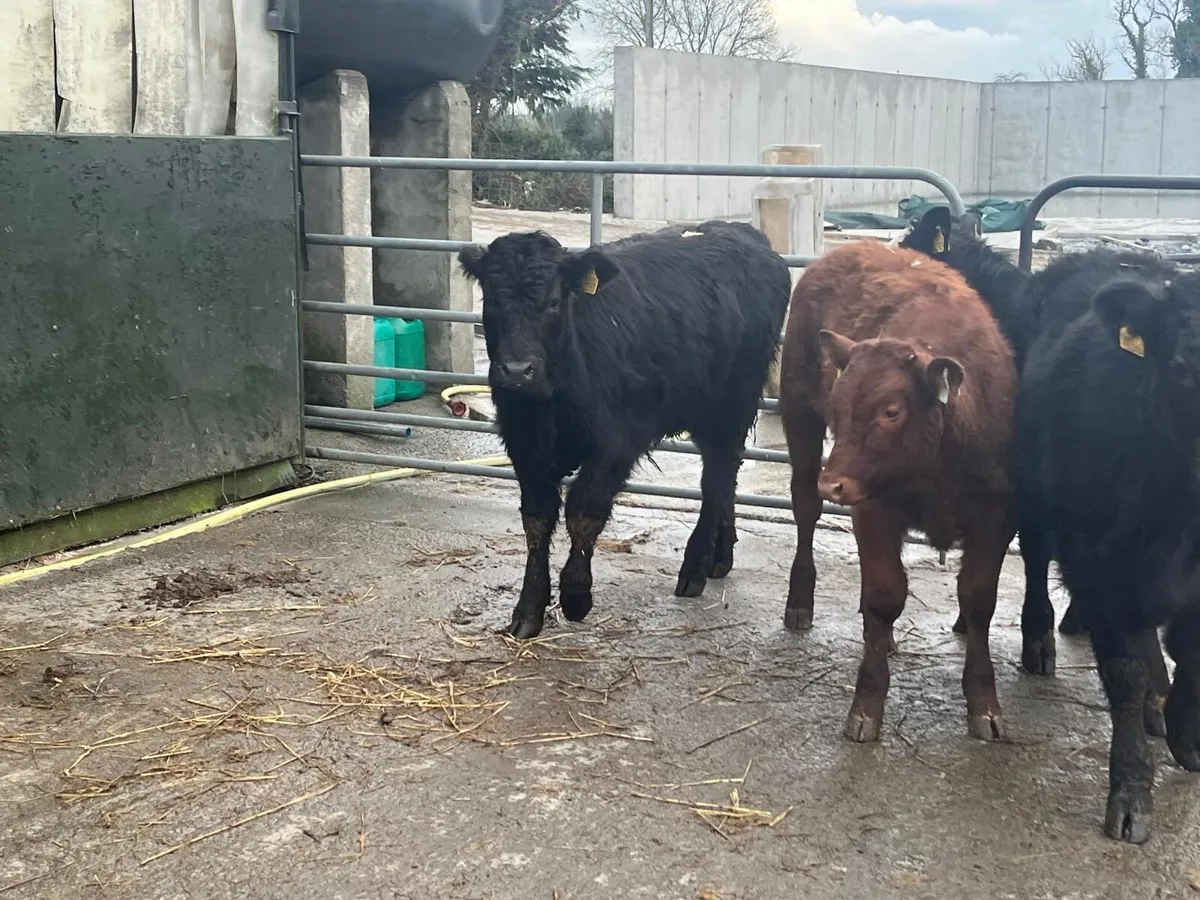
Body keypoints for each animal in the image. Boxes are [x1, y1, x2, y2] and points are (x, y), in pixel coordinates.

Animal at [458, 222, 792, 640]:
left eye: (554, 302)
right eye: (492, 302)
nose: (517, 370)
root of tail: (739, 231)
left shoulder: (615, 445)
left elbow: (584, 513)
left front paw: (576, 596)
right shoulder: (523, 444)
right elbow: (537, 520)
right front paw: (529, 608)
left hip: (731, 406)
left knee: (716, 480)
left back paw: (695, 568)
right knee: (726, 478)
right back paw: (720, 557)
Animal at [779, 240, 1018, 743]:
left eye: (891, 411)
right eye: (838, 404)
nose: (835, 483)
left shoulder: (997, 517)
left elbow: (978, 601)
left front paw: (984, 705)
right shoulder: (872, 509)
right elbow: (885, 594)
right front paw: (866, 707)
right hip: (799, 419)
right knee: (805, 511)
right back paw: (800, 602)